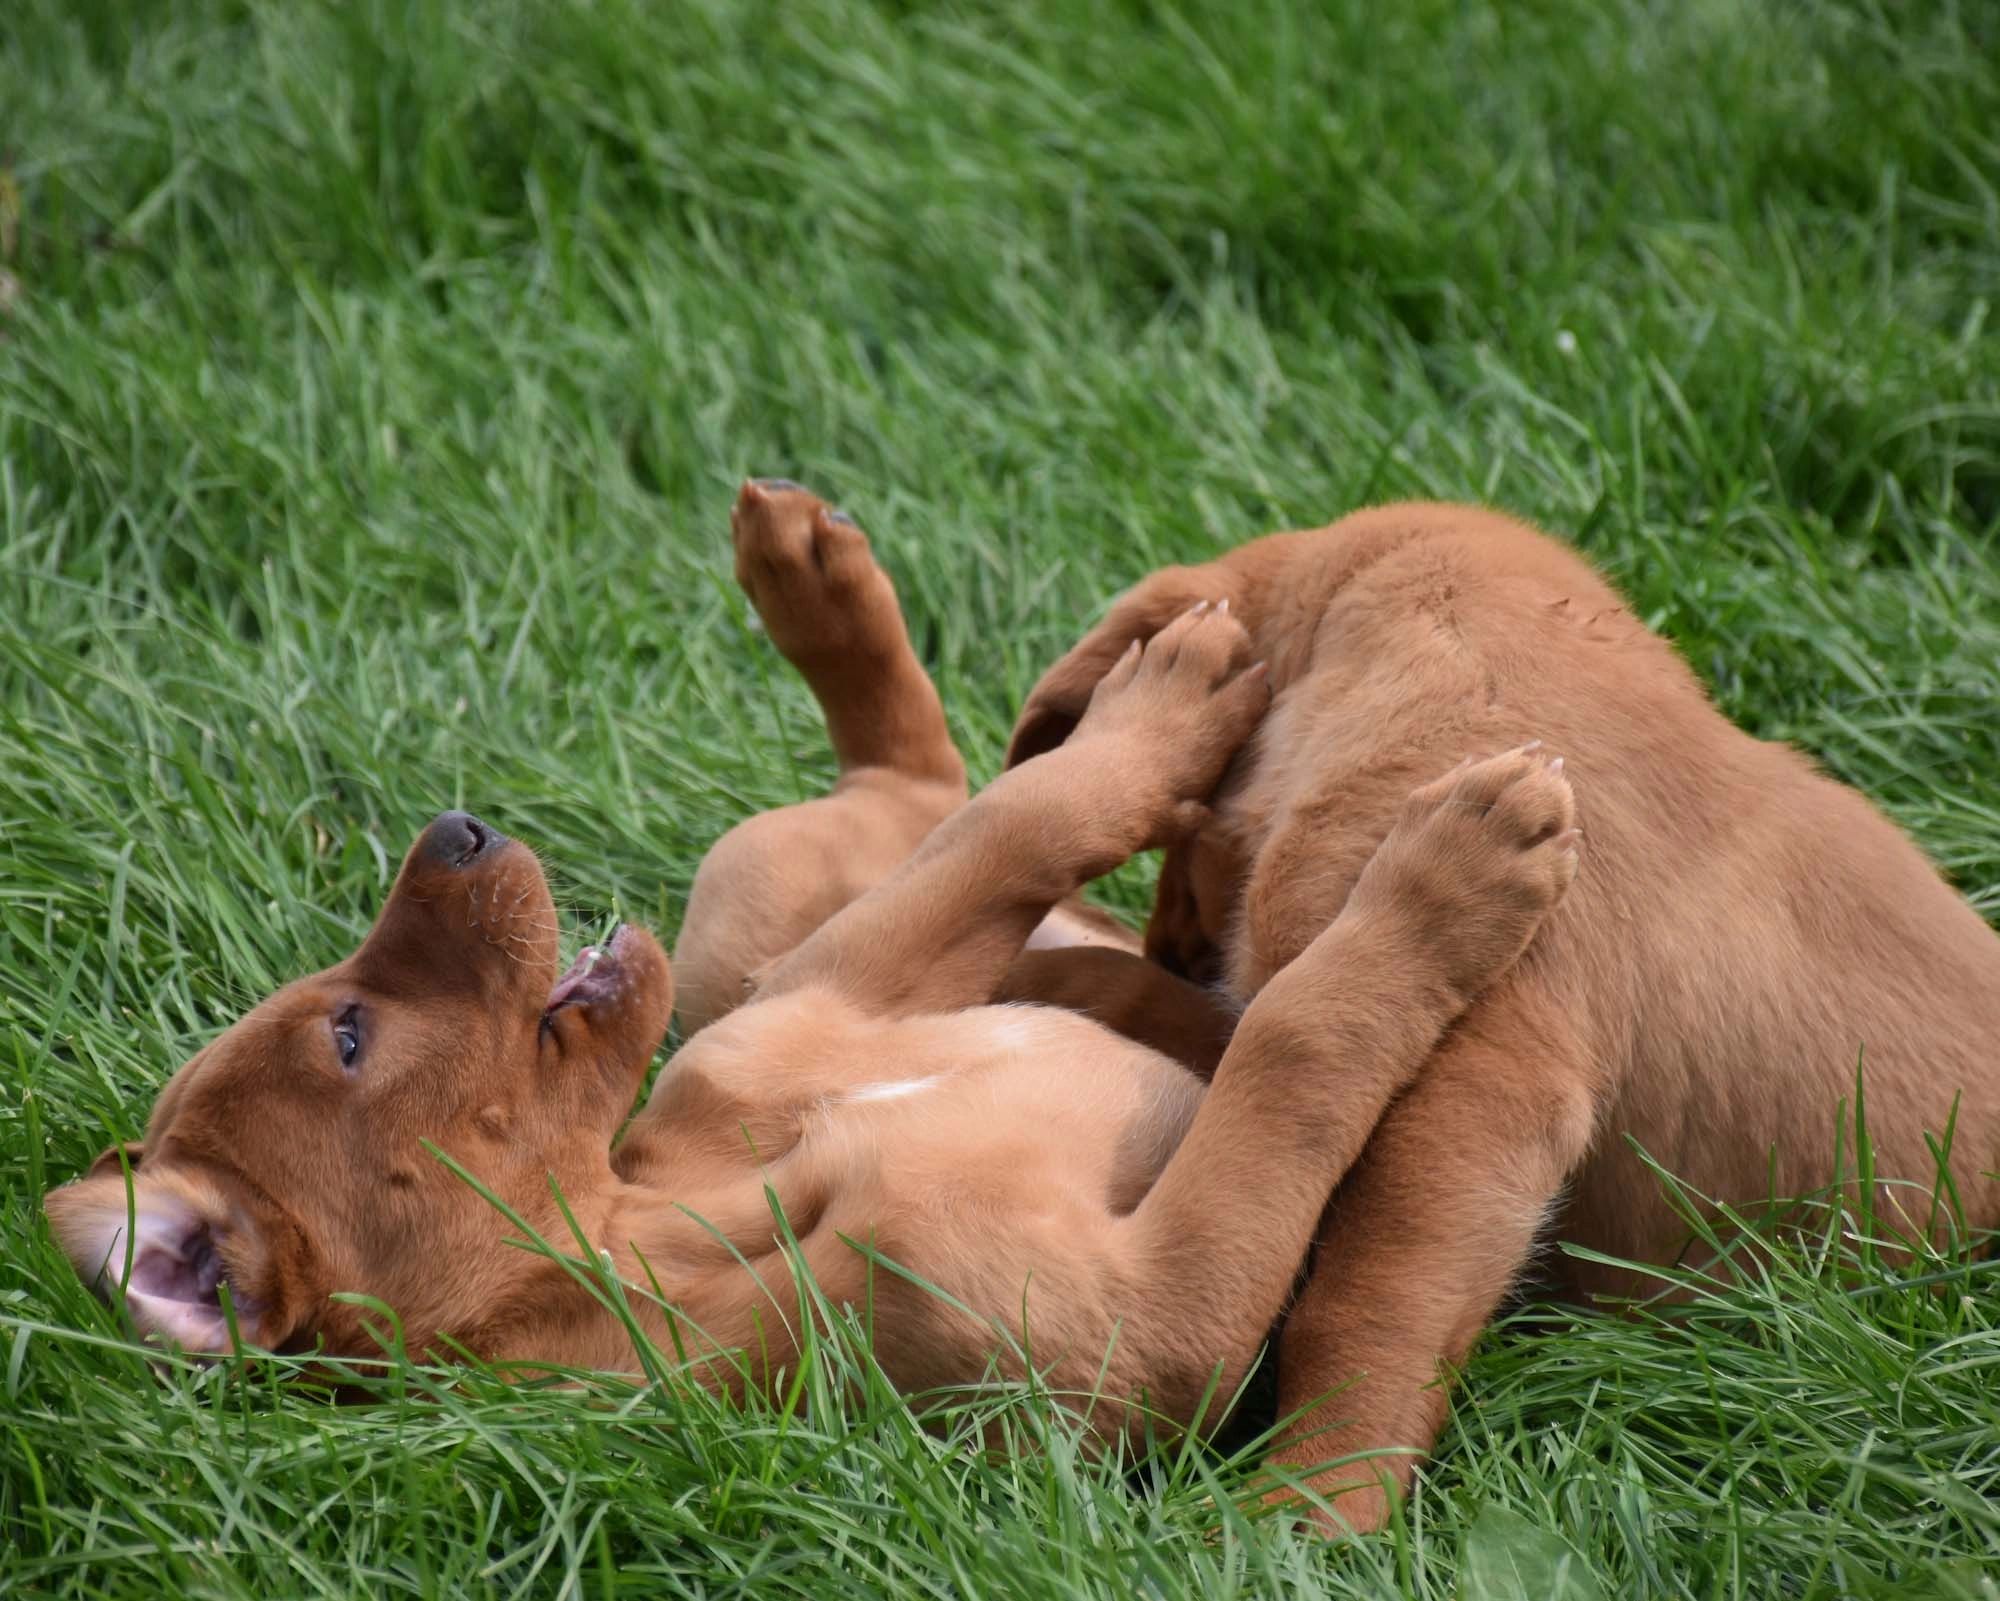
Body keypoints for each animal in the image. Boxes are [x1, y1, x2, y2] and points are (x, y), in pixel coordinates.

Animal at [43, 490, 1576, 1472]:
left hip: (766, 911)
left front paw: (1162, 721)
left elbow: (1016, 825)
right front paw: (1448, 874)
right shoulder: (1161, 1315)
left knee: (938, 792)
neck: (663, 1205)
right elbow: (1297, 1040)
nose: (455, 827)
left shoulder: (809, 1005)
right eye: (349, 1036)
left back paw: (829, 580)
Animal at [1008, 500, 2000, 1528]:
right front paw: (1064, 977)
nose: (1161, 942)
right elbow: (1262, 1019)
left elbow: (1360, 1303)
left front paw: (1312, 1501)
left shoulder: (1478, 1092)